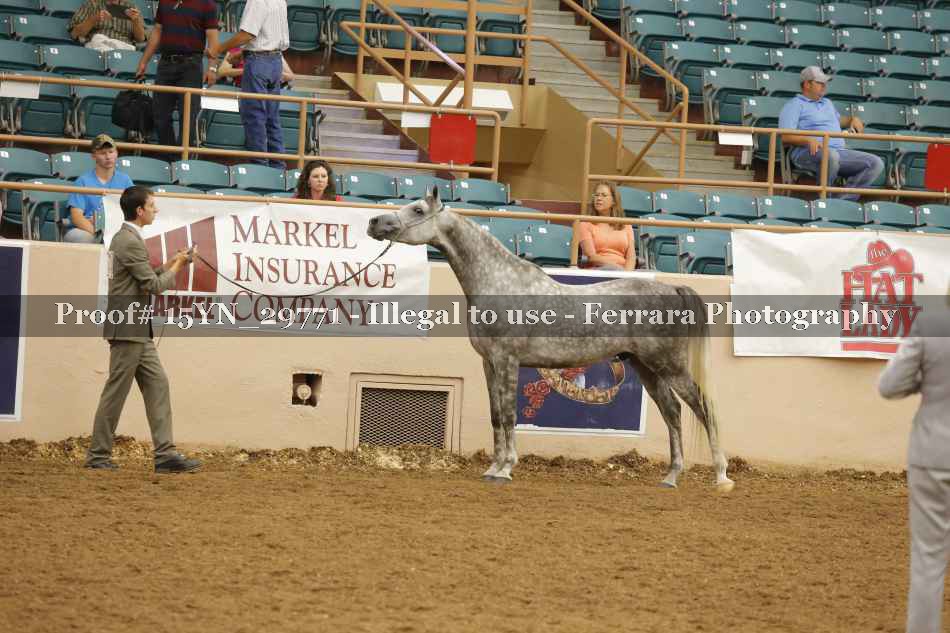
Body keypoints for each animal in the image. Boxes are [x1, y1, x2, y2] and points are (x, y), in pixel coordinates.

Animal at [367, 187, 734, 492]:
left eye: (417, 209)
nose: (374, 222)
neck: (500, 282)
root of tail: (673, 287)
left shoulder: (507, 360)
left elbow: (509, 414)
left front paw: (505, 469)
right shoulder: (489, 363)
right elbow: (496, 415)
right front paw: (492, 467)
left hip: (669, 365)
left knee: (701, 408)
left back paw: (721, 476)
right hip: (646, 367)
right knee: (672, 412)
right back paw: (671, 476)